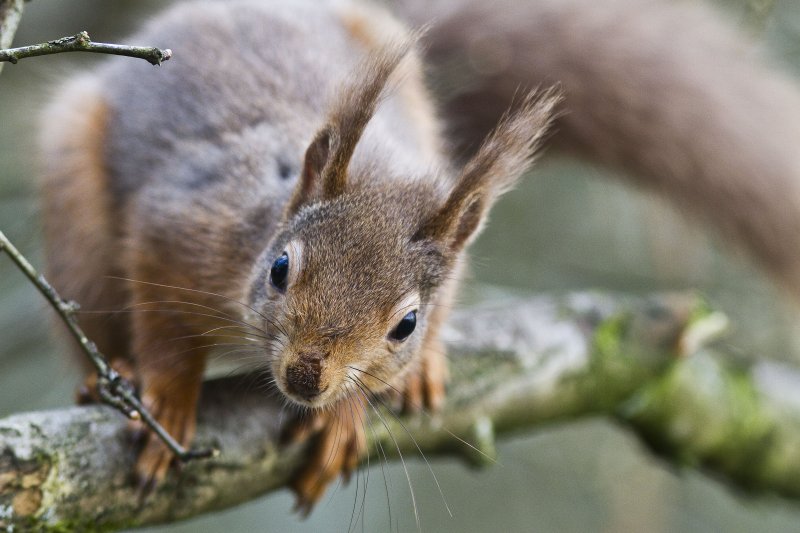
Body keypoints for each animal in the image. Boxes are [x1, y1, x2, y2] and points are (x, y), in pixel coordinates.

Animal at [37, 0, 800, 512]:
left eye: (405, 323)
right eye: (280, 269)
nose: (308, 375)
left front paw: (347, 414)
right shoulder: (183, 227)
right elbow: (163, 319)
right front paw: (167, 392)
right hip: (75, 210)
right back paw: (109, 373)